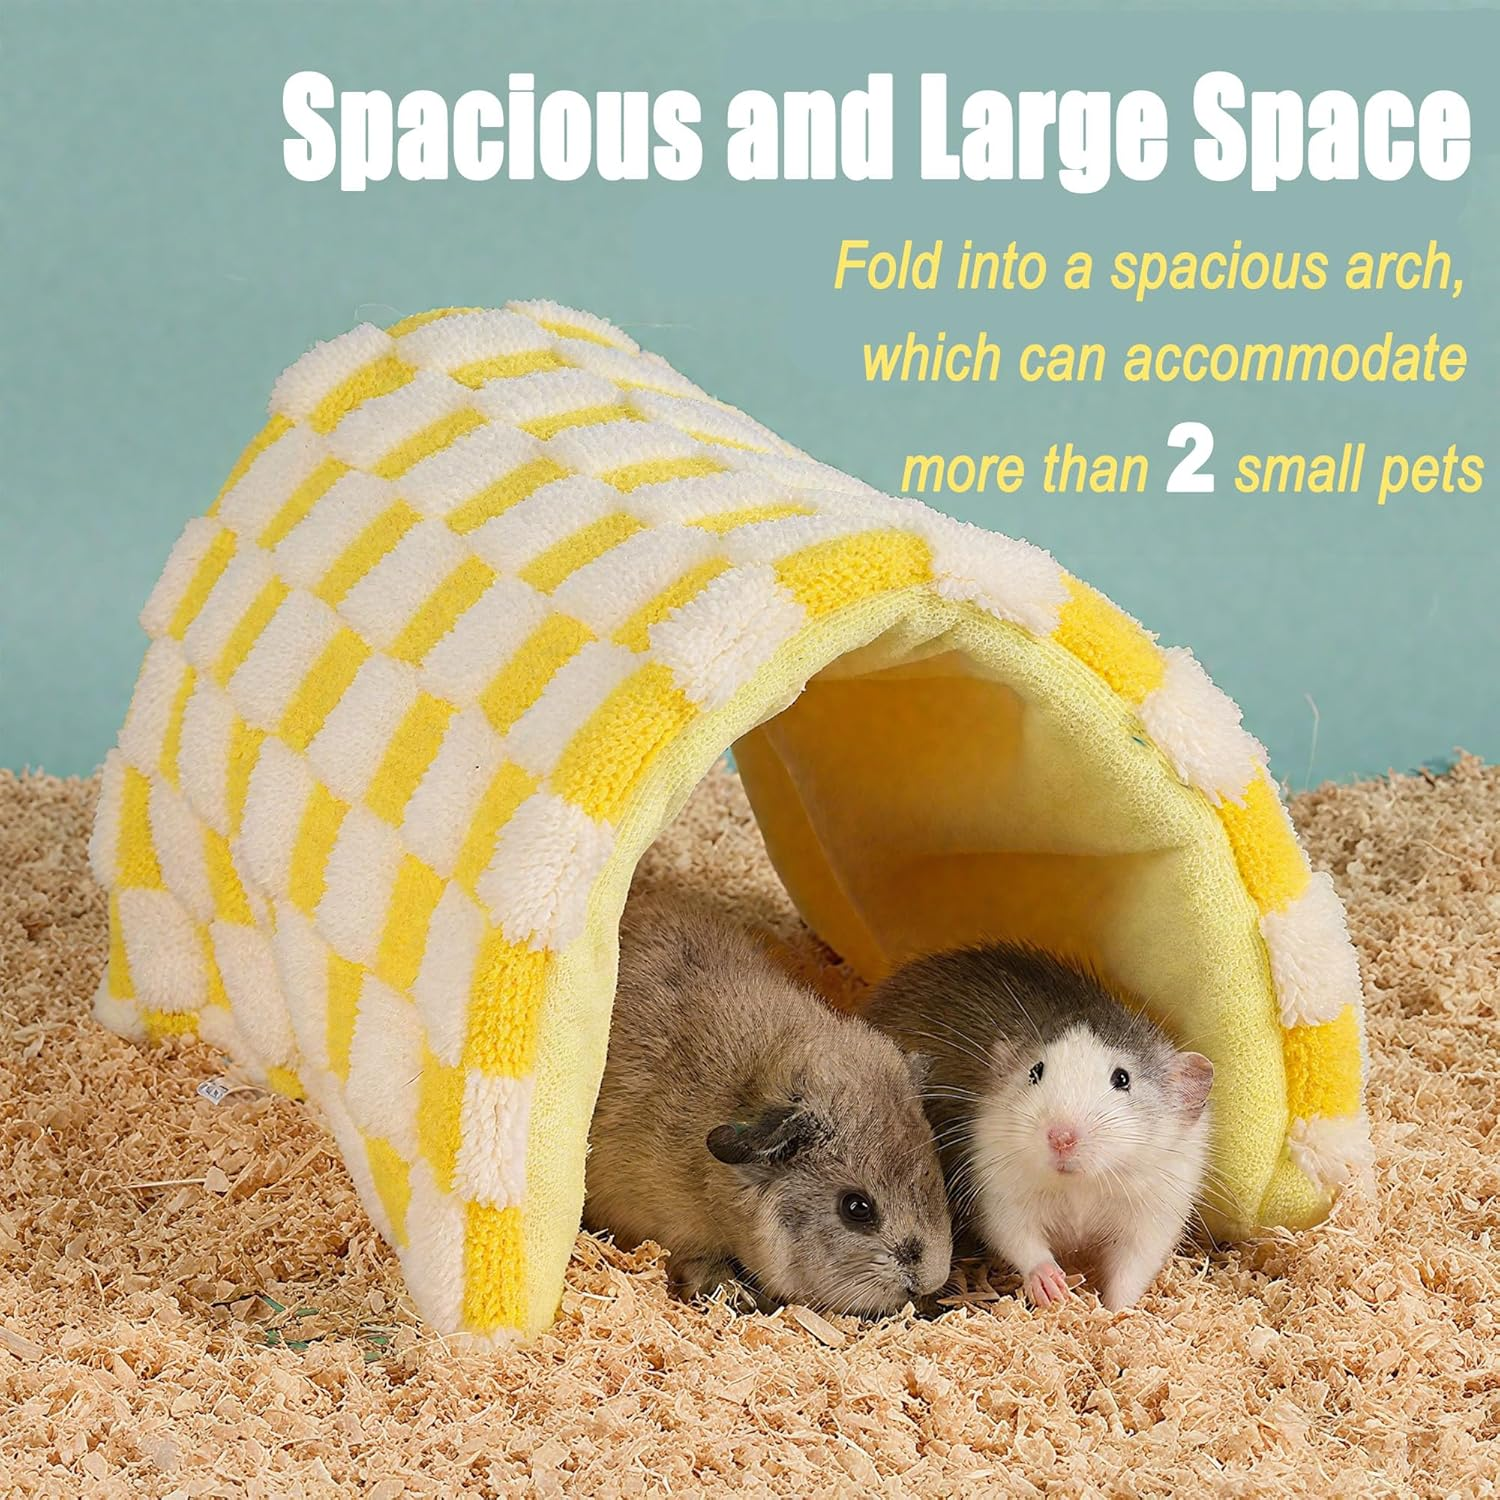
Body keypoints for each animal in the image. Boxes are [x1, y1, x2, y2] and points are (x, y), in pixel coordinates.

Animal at [863, 942, 1214, 1311]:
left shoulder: (1154, 1215)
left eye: (1122, 1078)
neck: (1079, 1186)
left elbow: (1132, 1269)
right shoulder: (1000, 1193)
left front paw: (1117, 1311)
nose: (1061, 1138)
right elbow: (1019, 1237)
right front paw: (1051, 1285)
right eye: (1036, 1071)